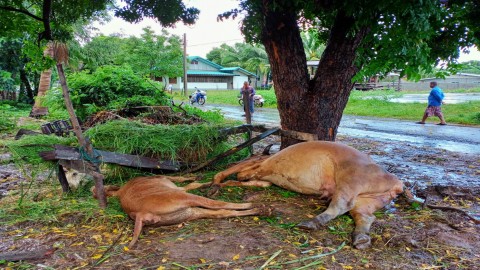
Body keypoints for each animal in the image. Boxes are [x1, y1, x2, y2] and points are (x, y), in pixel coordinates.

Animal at [91, 175, 270, 249]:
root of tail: (140, 214)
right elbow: (187, 181)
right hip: (186, 200)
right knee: (220, 204)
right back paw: (260, 207)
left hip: (190, 212)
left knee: (222, 211)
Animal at [212, 141, 404, 249]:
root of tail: (397, 182)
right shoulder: (263, 178)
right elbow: (248, 180)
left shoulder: (257, 166)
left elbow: (235, 173)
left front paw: (215, 185)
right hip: (367, 200)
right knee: (365, 216)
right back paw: (361, 239)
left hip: (350, 180)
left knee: (341, 205)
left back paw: (309, 224)